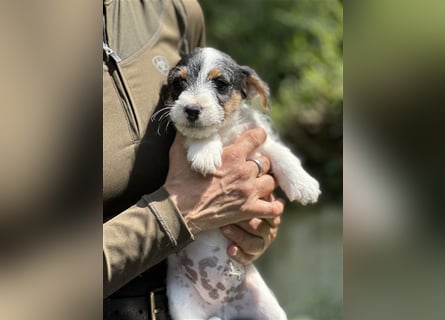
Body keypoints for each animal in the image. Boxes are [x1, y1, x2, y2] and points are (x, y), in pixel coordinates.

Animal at [155, 48, 320, 320]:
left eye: (220, 83)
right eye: (179, 82)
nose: (191, 109)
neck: (226, 132)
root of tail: (224, 309)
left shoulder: (261, 142)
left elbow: (282, 152)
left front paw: (303, 184)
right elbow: (196, 134)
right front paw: (205, 152)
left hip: (271, 311)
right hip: (186, 311)